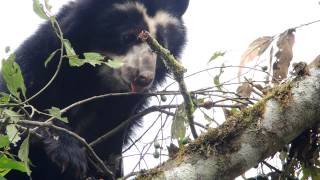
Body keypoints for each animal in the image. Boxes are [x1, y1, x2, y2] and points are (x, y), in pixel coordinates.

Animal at [3, 0, 188, 179]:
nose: (144, 78)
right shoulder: (37, 66)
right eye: (127, 36)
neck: (96, 82)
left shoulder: (123, 112)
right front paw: (68, 153)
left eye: (161, 45)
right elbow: (17, 112)